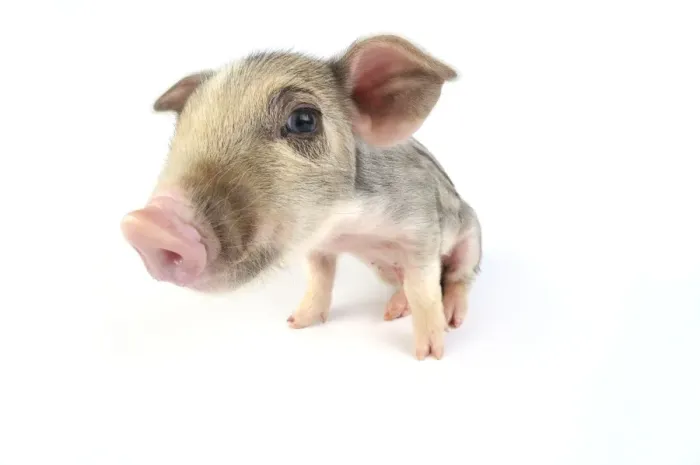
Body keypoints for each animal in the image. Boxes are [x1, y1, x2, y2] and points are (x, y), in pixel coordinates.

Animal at [120, 34, 482, 360]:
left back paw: (451, 317)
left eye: (304, 120)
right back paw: (392, 310)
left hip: (473, 236)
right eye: (183, 128)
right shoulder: (320, 248)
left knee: (458, 278)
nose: (147, 223)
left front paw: (429, 355)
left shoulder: (422, 229)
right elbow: (320, 280)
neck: (347, 227)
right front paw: (295, 323)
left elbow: (424, 290)